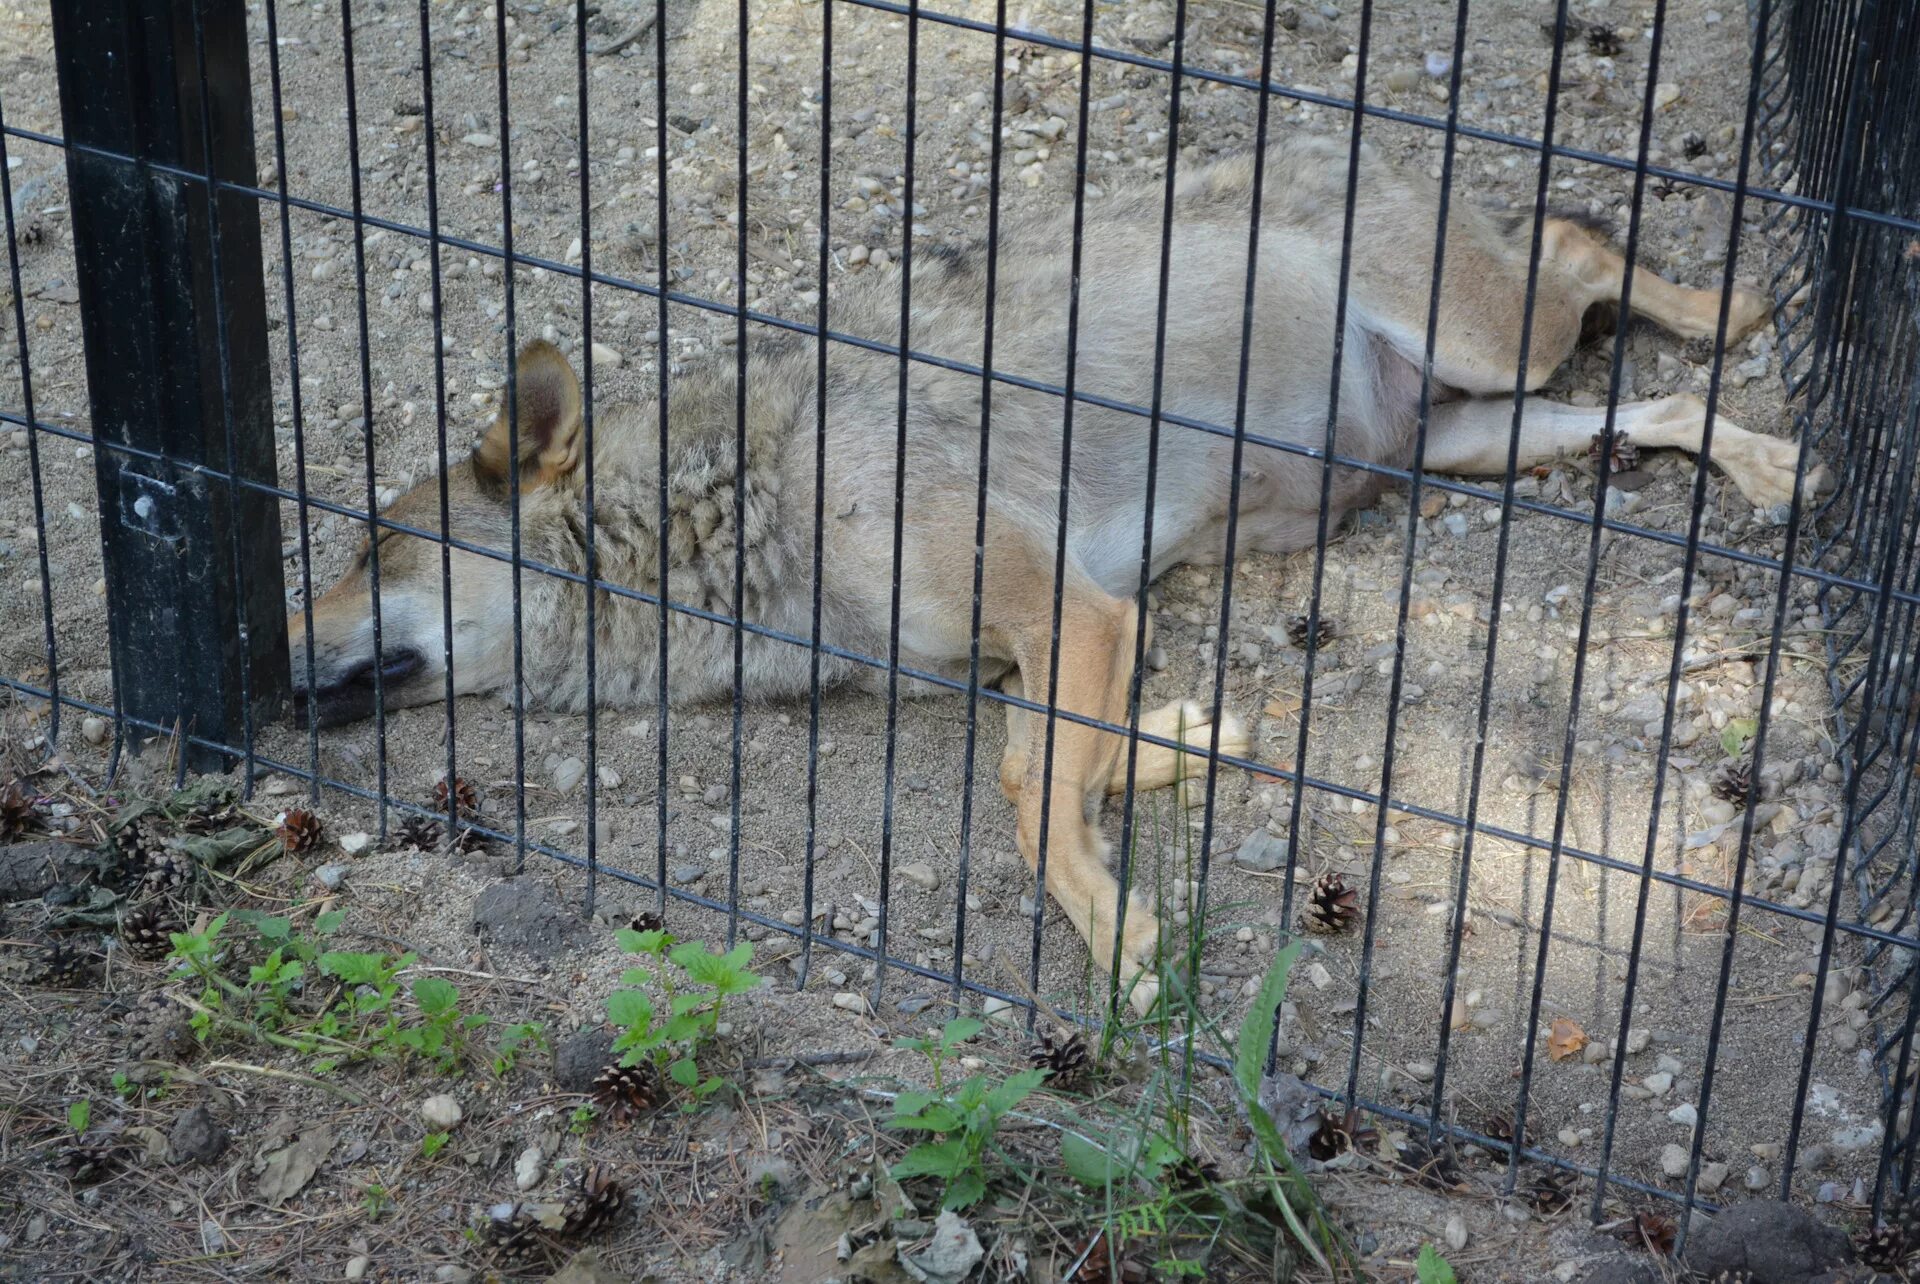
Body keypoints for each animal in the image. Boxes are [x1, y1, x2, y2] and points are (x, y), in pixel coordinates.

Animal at [288, 132, 1812, 1013]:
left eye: (367, 548)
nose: (263, 641)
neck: (742, 508)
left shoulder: (1066, 607)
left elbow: (1030, 796)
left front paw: (1124, 944)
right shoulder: (1031, 645)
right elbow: (1076, 752)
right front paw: (1192, 739)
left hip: (1499, 345)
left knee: (1578, 238)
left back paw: (1741, 313)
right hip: (1485, 434)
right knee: (1644, 397)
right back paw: (1771, 461)